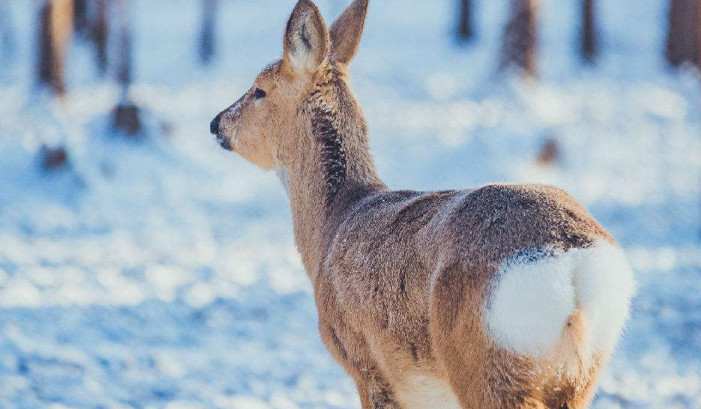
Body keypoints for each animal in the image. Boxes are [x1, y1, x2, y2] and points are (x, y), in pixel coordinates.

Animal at [208, 1, 636, 406]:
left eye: (259, 89)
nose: (217, 123)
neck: (333, 224)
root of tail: (573, 267)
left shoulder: (367, 363)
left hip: (486, 361)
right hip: (581, 373)